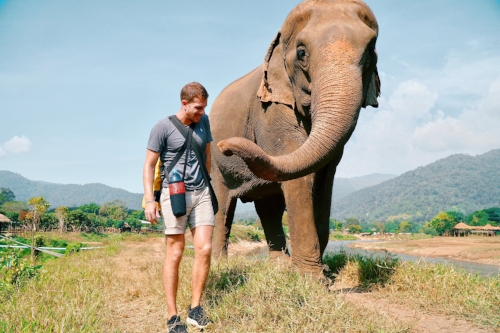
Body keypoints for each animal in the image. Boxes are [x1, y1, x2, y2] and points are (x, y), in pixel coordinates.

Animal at [207, 0, 378, 276]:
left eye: (371, 50)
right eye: (301, 53)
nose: (226, 146)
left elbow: (323, 180)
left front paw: (318, 272)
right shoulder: (271, 111)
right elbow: (301, 179)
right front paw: (312, 278)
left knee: (269, 207)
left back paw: (279, 266)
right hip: (215, 164)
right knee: (223, 206)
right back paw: (221, 264)